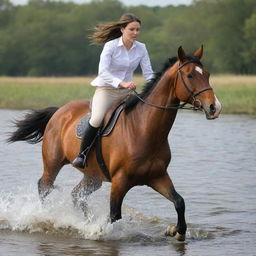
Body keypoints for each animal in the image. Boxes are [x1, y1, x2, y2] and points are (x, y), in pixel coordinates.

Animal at [7, 46, 220, 242]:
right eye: (190, 75)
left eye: (208, 74)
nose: (214, 107)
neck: (143, 130)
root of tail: (59, 111)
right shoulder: (120, 181)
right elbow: (114, 215)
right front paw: (101, 232)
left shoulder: (158, 177)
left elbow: (179, 202)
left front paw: (176, 231)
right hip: (53, 164)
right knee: (44, 187)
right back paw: (47, 215)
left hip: (93, 176)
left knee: (76, 195)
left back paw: (85, 222)